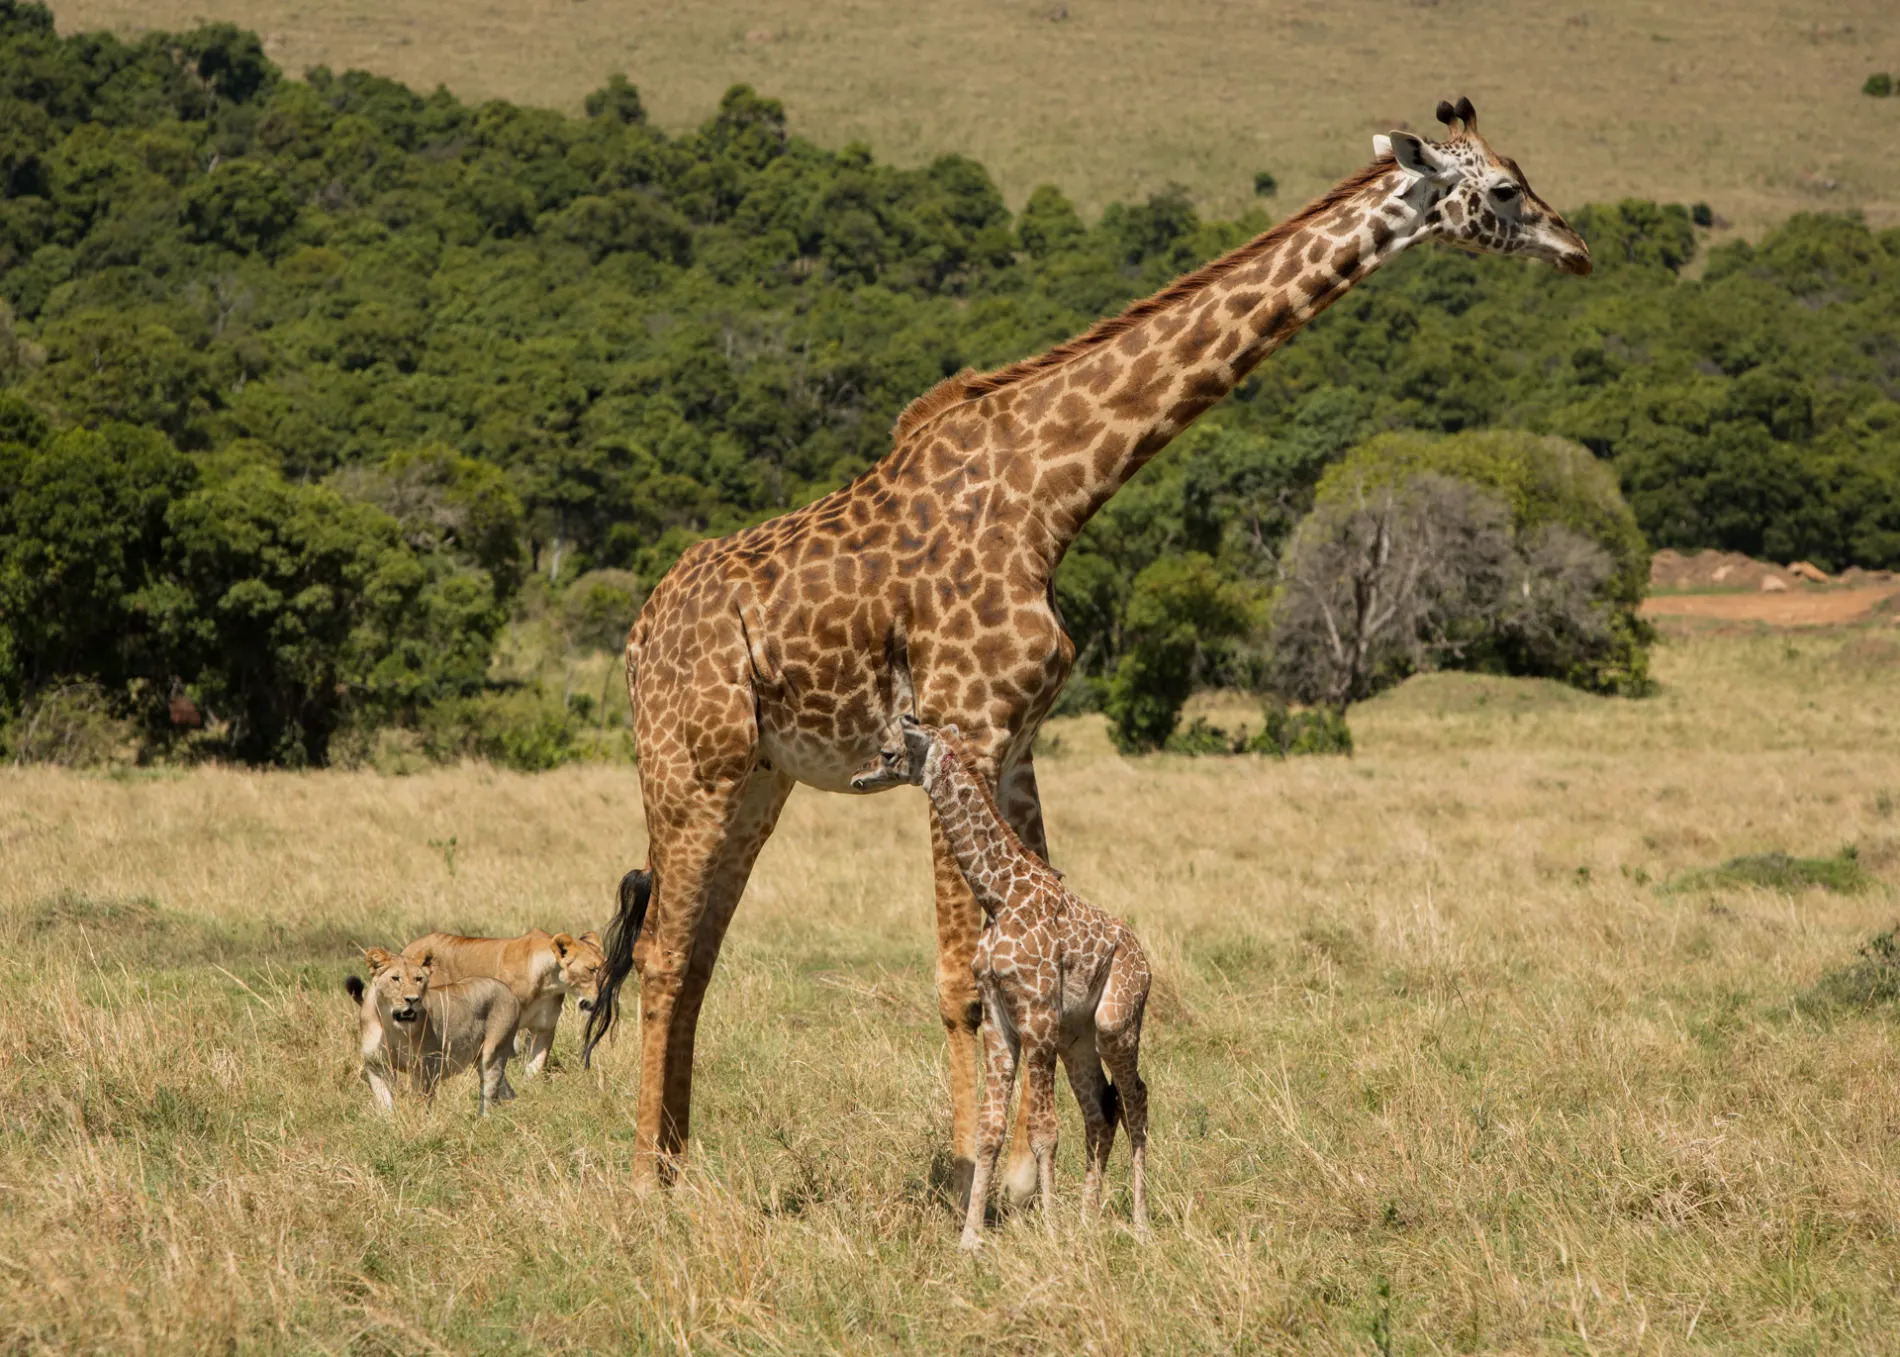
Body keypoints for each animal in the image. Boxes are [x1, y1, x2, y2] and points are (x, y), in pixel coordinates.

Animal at [585, 100, 1596, 1185]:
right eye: (1503, 189)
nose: (1576, 247)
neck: (1052, 496)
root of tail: (637, 638)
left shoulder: (1020, 739)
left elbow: (1058, 924)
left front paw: (1050, 1165)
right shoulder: (964, 722)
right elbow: (961, 973)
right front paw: (973, 1169)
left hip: (758, 781)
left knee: (697, 953)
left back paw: (681, 1164)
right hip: (691, 767)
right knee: (664, 951)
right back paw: (645, 1177)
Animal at [855, 714, 1147, 1239]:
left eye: (889, 752)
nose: (858, 776)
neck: (999, 896)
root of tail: (1147, 961)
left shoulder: (1037, 1016)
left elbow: (1044, 1132)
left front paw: (1048, 1230)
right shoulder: (998, 1020)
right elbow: (989, 1131)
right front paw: (970, 1236)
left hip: (1116, 1023)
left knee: (1137, 1100)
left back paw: (1140, 1223)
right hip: (1077, 1036)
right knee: (1102, 1109)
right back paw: (1088, 1221)